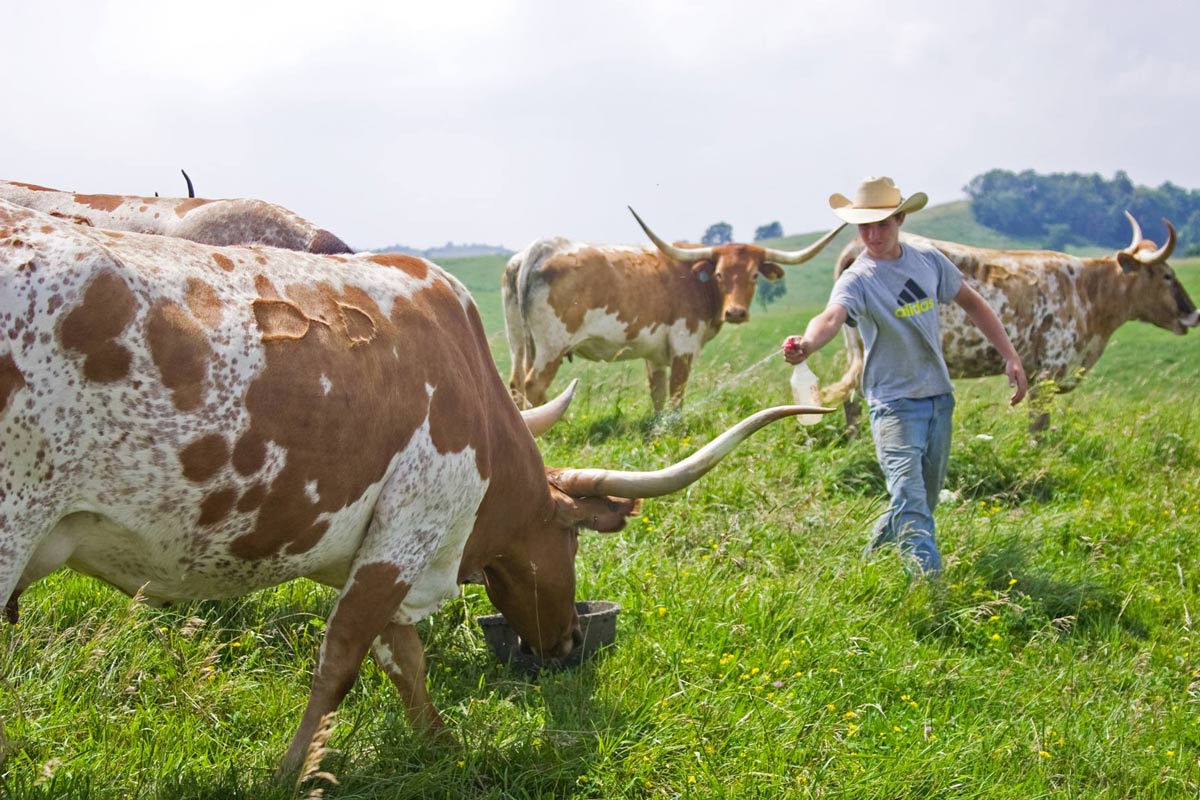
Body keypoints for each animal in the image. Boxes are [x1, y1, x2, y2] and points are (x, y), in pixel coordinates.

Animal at [506, 209, 844, 410]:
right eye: (719, 274)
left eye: (753, 276)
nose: (735, 312)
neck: (696, 280)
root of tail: (539, 248)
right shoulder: (684, 346)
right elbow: (677, 393)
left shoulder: (654, 354)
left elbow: (657, 393)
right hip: (551, 346)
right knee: (533, 384)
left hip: (519, 343)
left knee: (515, 383)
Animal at [825, 209, 1200, 429]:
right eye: (1167, 275)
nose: (1193, 313)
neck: (1086, 291)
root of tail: (854, 246)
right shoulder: (1050, 368)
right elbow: (1039, 424)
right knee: (850, 396)